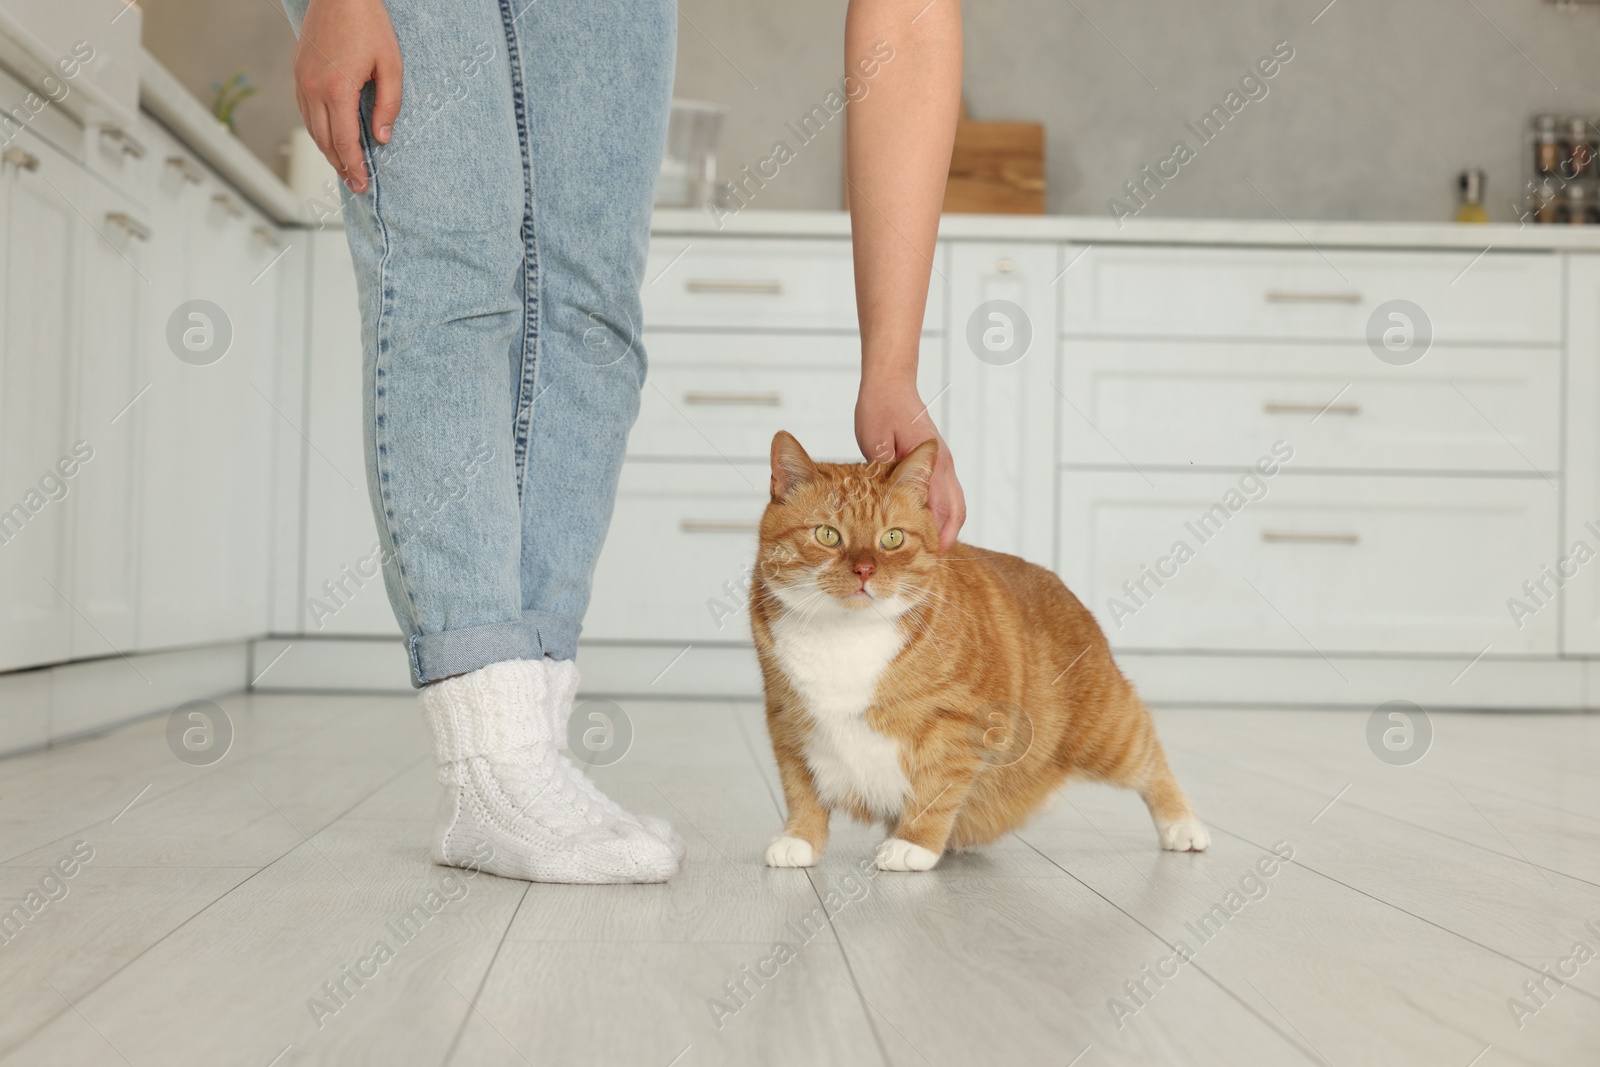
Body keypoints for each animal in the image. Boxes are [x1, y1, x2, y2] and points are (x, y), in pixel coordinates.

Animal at [755, 428, 1203, 870]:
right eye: (827, 535)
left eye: (892, 538)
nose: (864, 570)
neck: (845, 633)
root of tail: (1061, 586)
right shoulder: (786, 718)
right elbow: (801, 790)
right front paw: (800, 838)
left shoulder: (959, 723)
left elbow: (935, 790)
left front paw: (914, 843)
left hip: (1105, 731)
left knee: (1148, 754)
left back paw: (1182, 825)